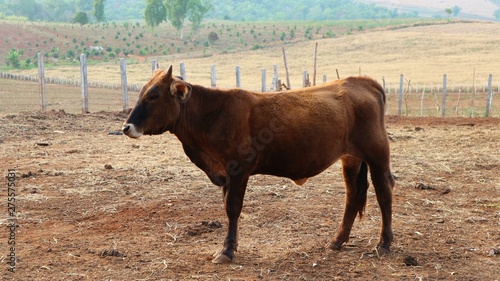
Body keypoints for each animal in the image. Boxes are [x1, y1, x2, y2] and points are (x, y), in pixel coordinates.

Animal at [121, 65, 394, 262]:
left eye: (153, 95)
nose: (126, 127)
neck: (213, 115)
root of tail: (361, 81)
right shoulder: (223, 174)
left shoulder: (238, 171)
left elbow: (232, 208)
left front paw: (227, 251)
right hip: (351, 159)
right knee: (352, 196)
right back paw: (337, 240)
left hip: (377, 156)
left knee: (384, 193)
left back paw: (384, 243)